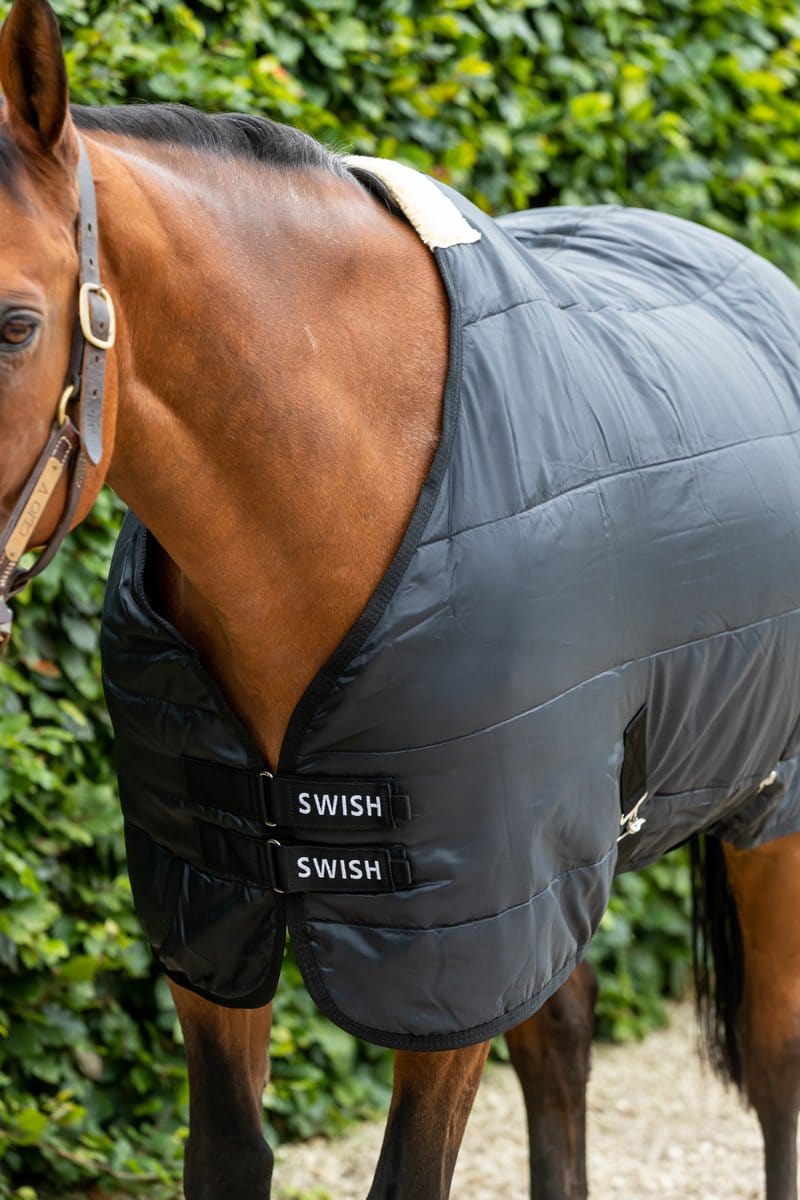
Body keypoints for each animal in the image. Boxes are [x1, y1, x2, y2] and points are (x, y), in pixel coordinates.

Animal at [1, 2, 800, 1198]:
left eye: (14, 324)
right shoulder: (212, 905)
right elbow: (229, 1153)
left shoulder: (450, 938)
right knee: (562, 1045)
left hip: (766, 811)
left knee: (772, 1052)